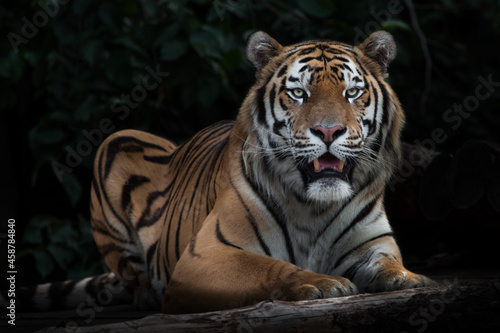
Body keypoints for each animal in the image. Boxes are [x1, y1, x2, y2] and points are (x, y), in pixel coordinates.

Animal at [79, 29, 434, 312]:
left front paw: (407, 277)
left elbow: (387, 263)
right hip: (115, 141)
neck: (313, 207)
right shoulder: (205, 255)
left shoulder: (373, 243)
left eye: (352, 92)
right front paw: (323, 283)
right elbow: (273, 268)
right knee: (135, 281)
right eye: (298, 93)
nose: (328, 131)